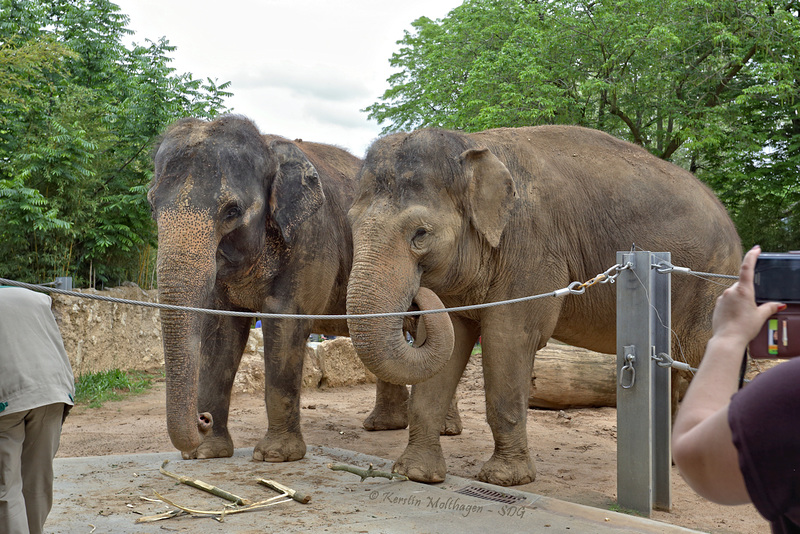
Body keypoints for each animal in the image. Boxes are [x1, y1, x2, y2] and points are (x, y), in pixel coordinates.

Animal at [146, 114, 446, 464]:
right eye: (152, 206)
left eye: (232, 211)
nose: (201, 419)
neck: (267, 145)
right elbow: (221, 332)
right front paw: (207, 454)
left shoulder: (311, 239)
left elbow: (286, 325)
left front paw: (275, 456)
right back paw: (383, 425)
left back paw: (442, 430)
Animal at [346, 125, 744, 490]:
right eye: (350, 224)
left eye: (421, 234)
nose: (417, 295)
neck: (475, 143)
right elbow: (450, 343)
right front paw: (415, 475)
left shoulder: (532, 248)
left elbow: (507, 340)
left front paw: (504, 479)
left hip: (712, 282)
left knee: (699, 355)